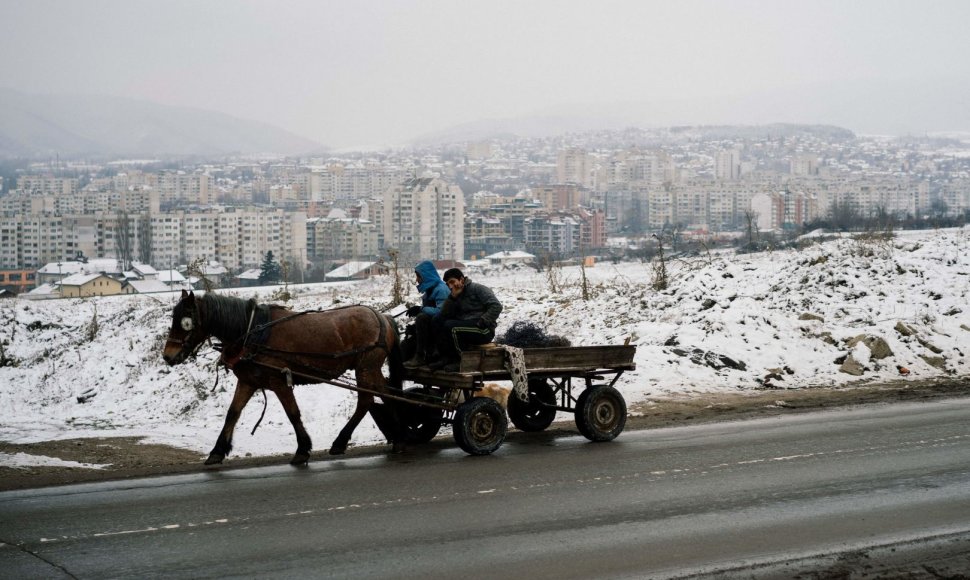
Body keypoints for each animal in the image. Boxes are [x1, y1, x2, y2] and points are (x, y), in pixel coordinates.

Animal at [161, 290, 402, 466]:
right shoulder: (248, 382)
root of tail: (382, 317)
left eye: (186, 322)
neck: (252, 333)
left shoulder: (280, 381)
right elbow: (233, 413)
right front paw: (217, 451)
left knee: (365, 401)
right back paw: (400, 439)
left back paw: (341, 441)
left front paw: (302, 449)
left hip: (365, 367)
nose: (168, 356)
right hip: (371, 369)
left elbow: (292, 413)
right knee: (387, 394)